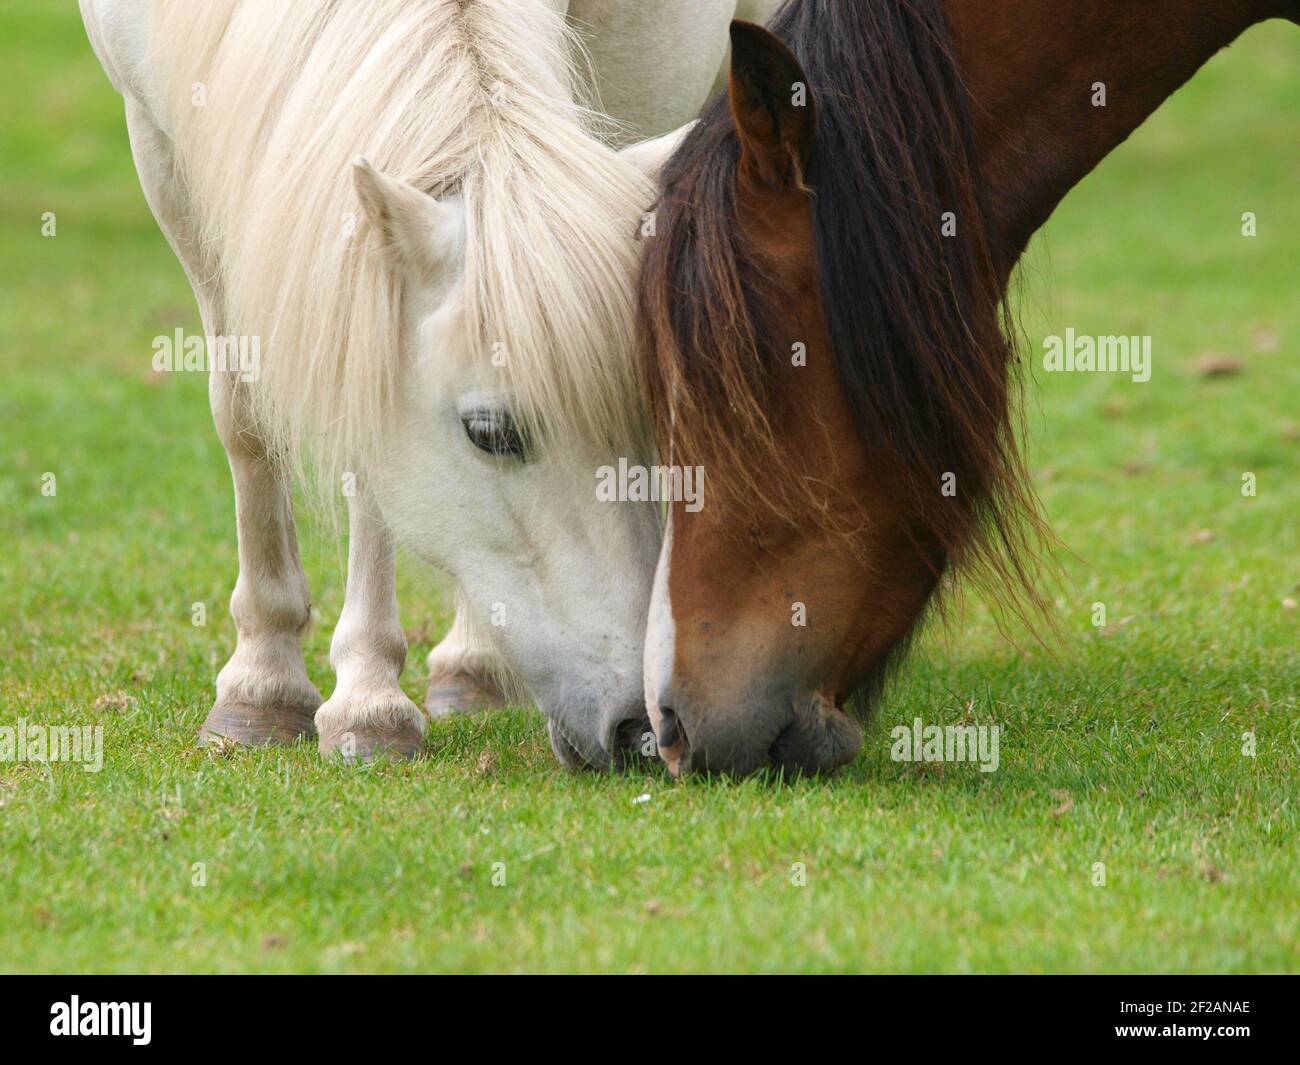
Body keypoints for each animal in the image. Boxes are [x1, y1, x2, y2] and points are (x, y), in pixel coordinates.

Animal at [86, 0, 774, 764]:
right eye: (490, 434)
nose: (642, 730)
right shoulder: (158, 146)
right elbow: (244, 419)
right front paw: (261, 683)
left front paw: (366, 700)